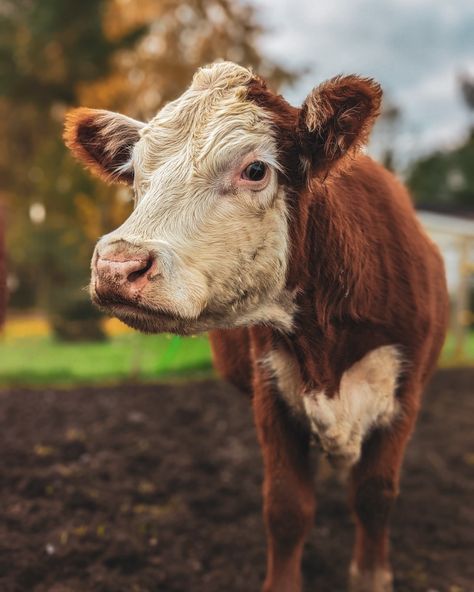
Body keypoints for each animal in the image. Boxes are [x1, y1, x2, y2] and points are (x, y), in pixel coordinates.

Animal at [64, 61, 448, 592]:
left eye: (255, 169)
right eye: (137, 172)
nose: (118, 266)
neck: (326, 345)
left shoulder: (404, 393)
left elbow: (374, 495)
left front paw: (370, 576)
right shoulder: (271, 392)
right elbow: (287, 507)